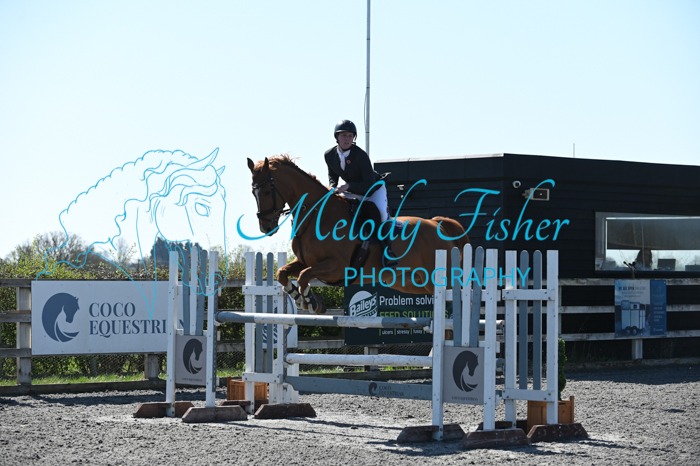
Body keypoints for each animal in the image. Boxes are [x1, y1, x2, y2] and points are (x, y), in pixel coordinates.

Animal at [246, 154, 469, 314]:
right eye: (253, 192)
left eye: (266, 191)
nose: (265, 227)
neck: (318, 215)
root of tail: (437, 224)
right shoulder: (305, 260)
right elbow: (283, 273)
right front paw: (301, 299)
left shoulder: (337, 266)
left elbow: (303, 276)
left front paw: (311, 302)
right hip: (413, 283)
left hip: (438, 280)